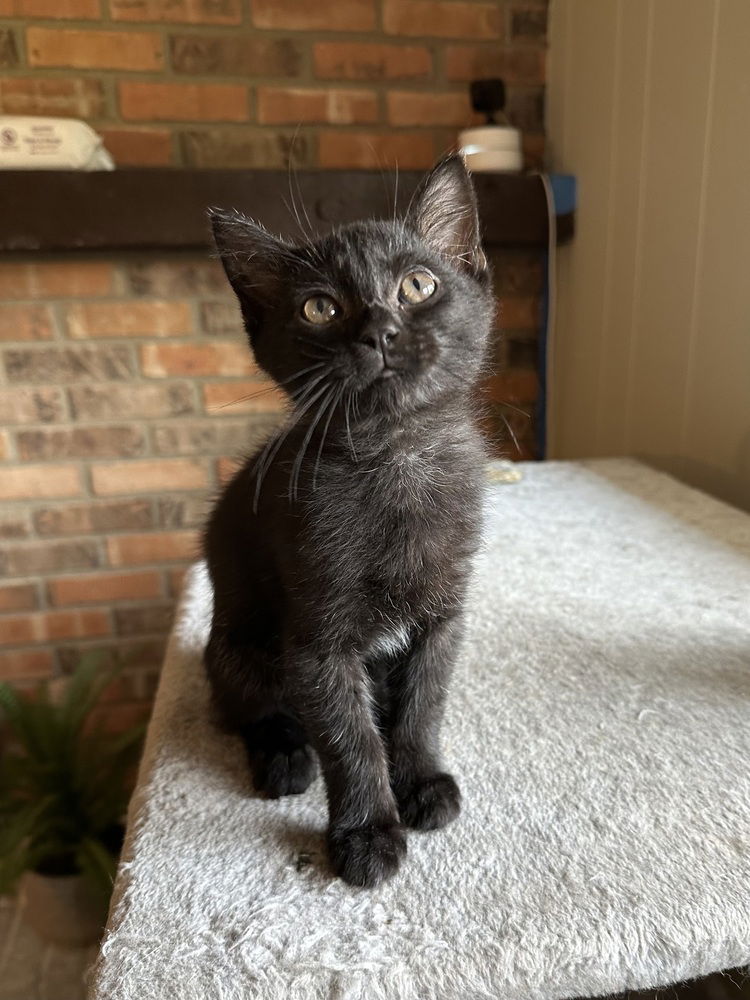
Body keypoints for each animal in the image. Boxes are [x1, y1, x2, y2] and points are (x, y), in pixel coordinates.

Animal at [203, 158, 494, 892]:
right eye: (319, 308)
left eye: (418, 284)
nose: (381, 331)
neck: (395, 460)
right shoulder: (316, 641)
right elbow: (347, 737)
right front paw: (366, 834)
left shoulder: (443, 614)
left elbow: (424, 702)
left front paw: (420, 780)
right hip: (236, 650)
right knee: (251, 709)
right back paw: (283, 758)